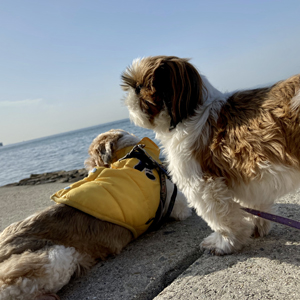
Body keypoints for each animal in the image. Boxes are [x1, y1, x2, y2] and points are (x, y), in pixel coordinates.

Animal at [120, 55, 300, 254]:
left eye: (138, 88)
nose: (127, 98)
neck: (189, 115)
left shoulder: (202, 184)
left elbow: (221, 219)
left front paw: (225, 242)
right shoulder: (251, 178)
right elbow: (256, 203)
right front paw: (258, 225)